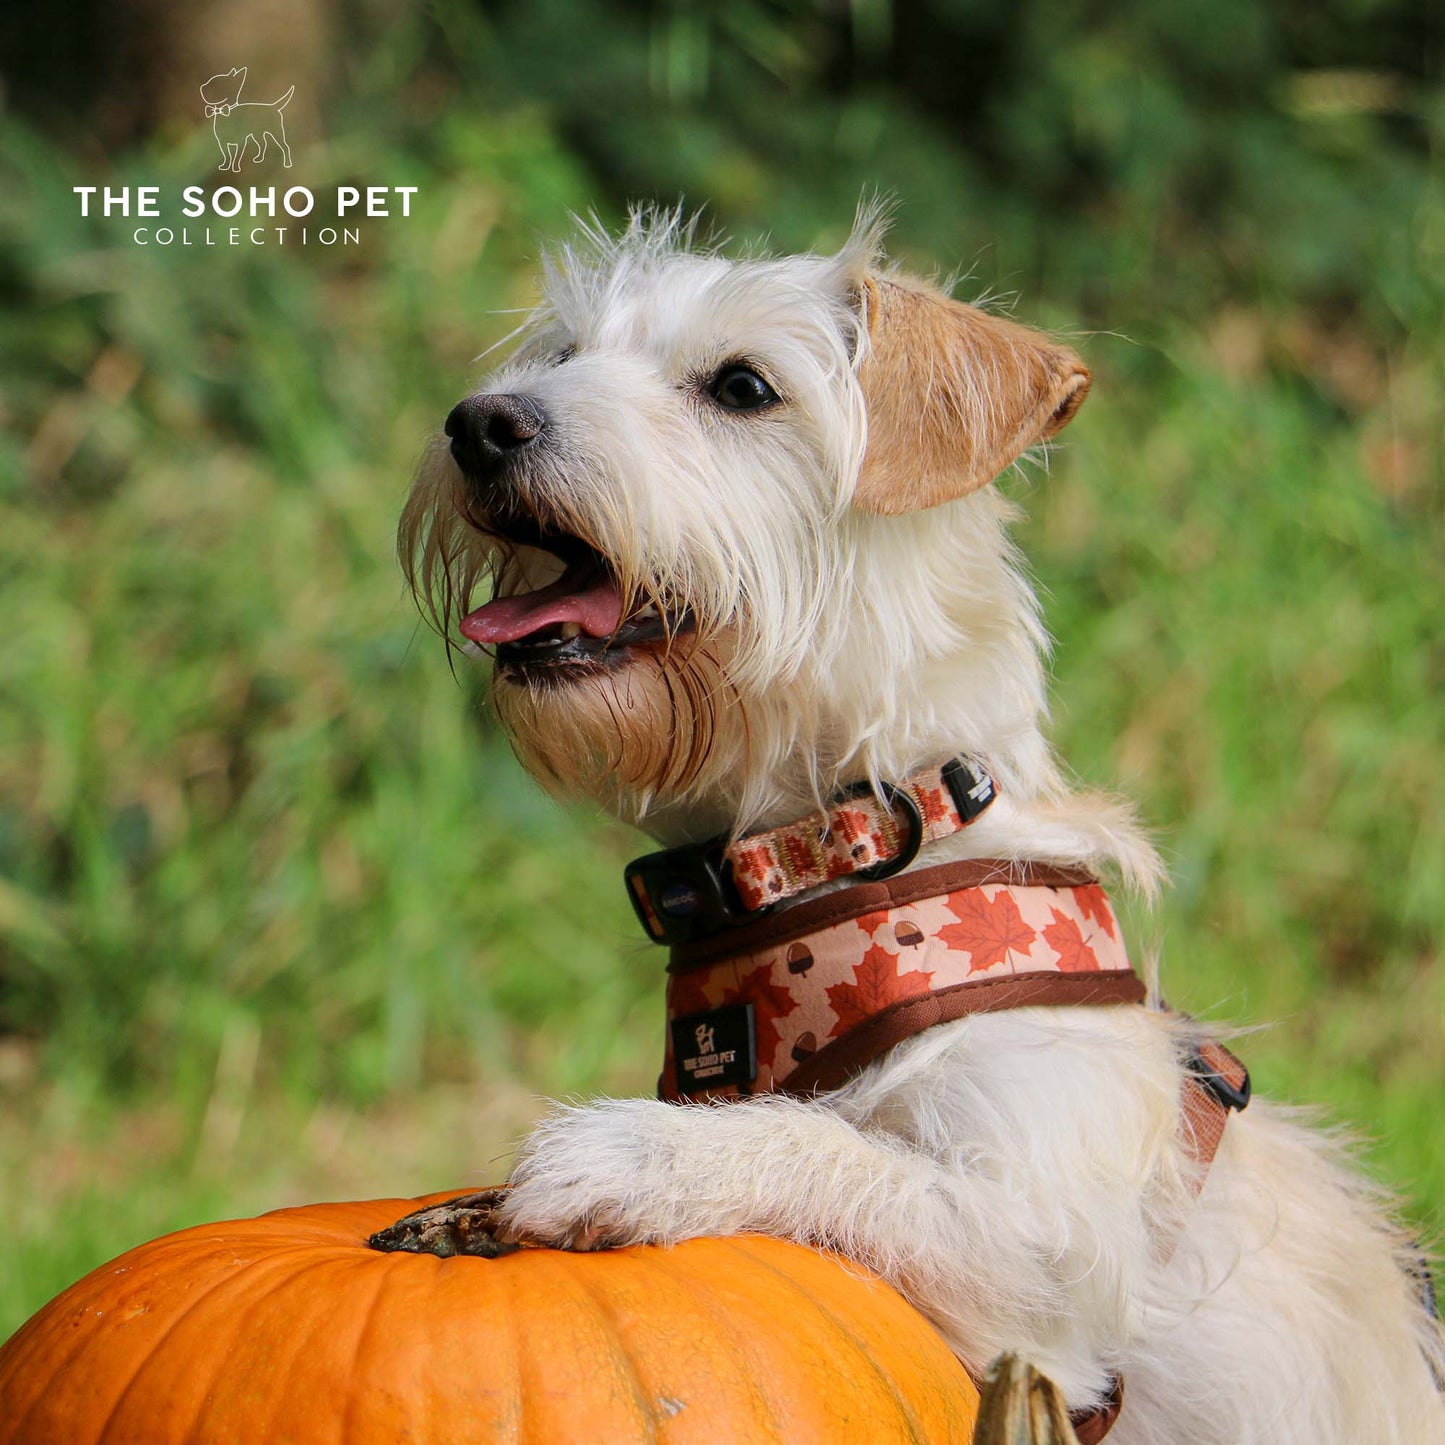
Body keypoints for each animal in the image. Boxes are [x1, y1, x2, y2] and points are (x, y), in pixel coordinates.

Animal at [398, 209, 1445, 1439]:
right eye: (563, 355)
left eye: (743, 385)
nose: (481, 422)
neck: (832, 858)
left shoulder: (1047, 1266)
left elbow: (834, 1144)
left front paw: (631, 1151)